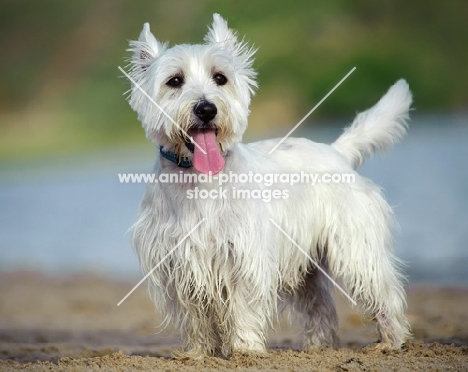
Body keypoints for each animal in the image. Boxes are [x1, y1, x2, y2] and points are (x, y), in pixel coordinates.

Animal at [126, 13, 412, 358]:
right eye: (175, 81)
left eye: (220, 78)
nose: (206, 109)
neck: (197, 179)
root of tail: (337, 151)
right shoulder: (178, 263)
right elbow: (194, 313)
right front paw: (199, 352)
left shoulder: (245, 255)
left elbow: (243, 306)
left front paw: (245, 349)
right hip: (305, 265)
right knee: (319, 305)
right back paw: (318, 347)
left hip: (355, 249)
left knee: (381, 292)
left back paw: (391, 341)